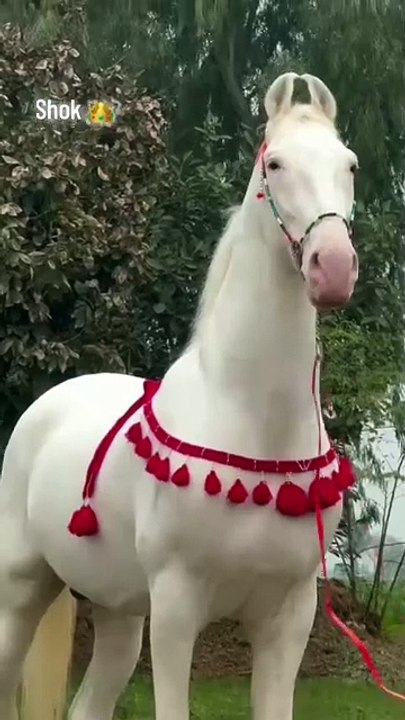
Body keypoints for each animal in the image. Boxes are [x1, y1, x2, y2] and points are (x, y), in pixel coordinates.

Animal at [0, 72, 359, 720]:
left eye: (349, 165)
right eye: (275, 164)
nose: (334, 268)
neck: (253, 422)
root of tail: (48, 404)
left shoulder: (289, 616)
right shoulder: (175, 608)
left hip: (117, 611)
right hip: (22, 589)